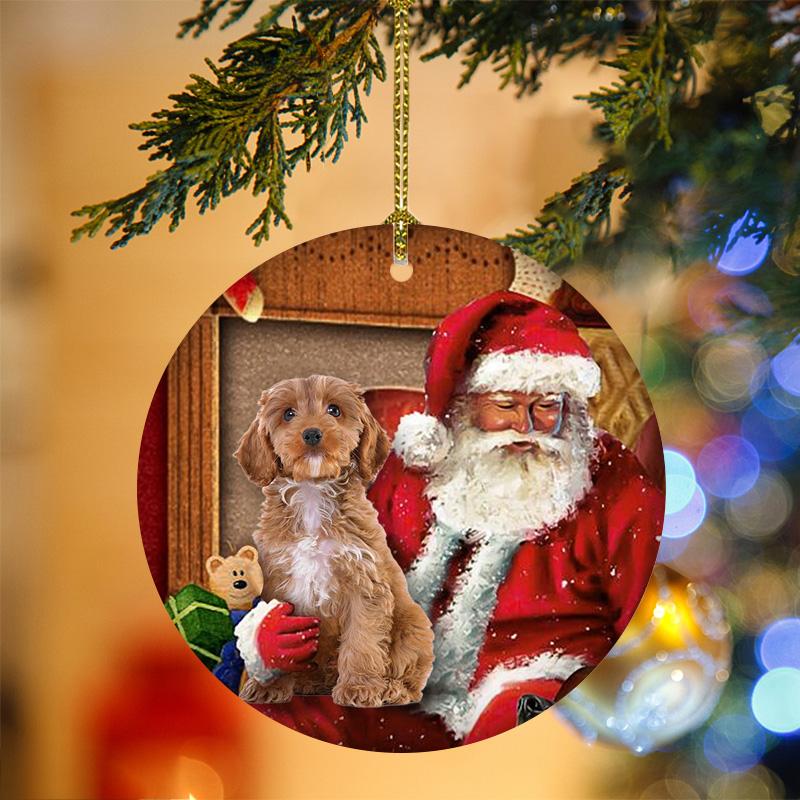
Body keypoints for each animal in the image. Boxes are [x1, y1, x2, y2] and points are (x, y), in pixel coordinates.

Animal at [233, 376, 432, 708]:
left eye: (334, 410)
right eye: (288, 414)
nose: (312, 433)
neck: (313, 493)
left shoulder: (364, 583)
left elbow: (363, 639)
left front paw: (360, 688)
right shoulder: (279, 583)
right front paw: (268, 687)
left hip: (413, 626)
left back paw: (394, 689)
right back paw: (310, 682)